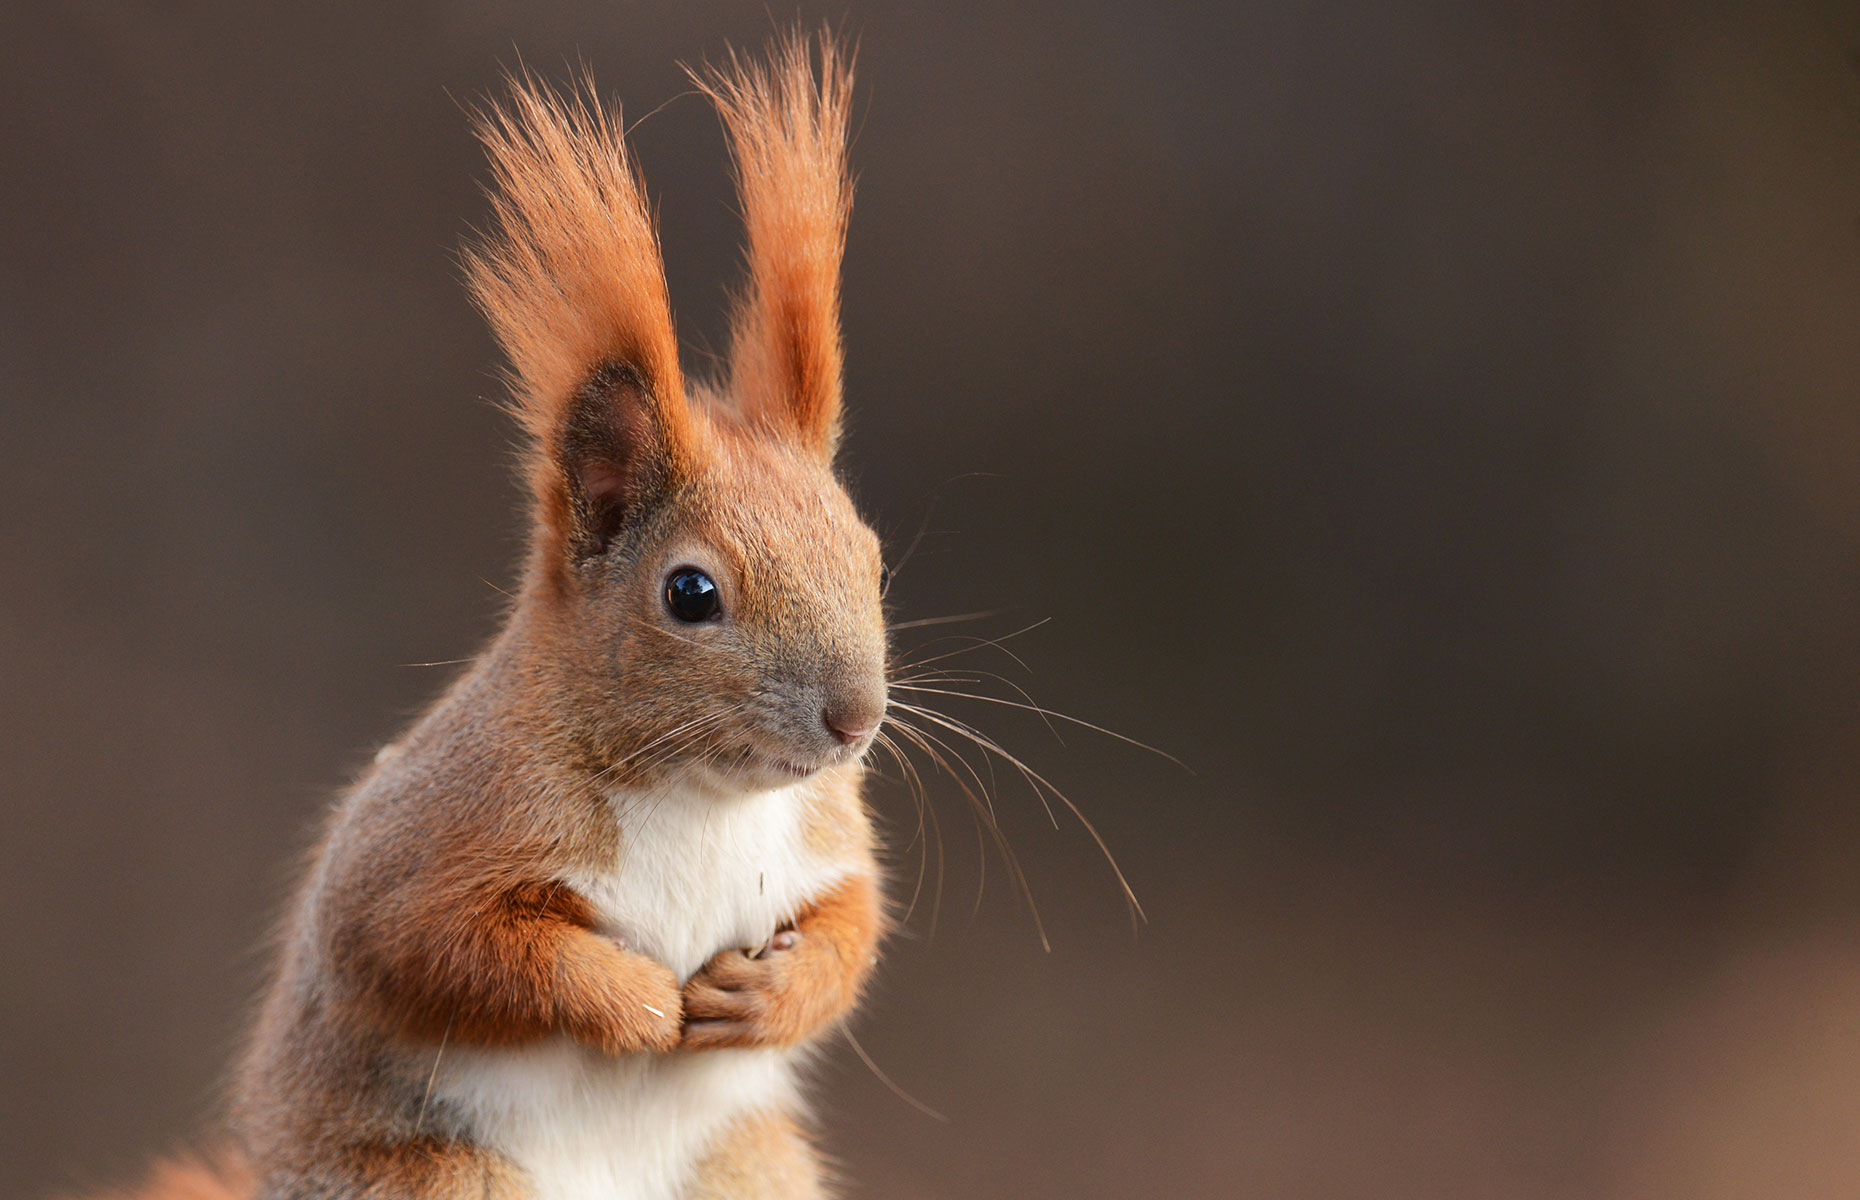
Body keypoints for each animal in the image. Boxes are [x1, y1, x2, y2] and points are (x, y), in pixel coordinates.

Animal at [90, 32, 889, 1190]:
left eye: (871, 557)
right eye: (691, 593)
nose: (855, 722)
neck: (700, 798)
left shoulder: (824, 836)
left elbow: (853, 926)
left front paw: (768, 997)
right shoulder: (436, 840)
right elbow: (445, 947)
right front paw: (635, 1003)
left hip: (747, 1165)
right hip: (439, 1174)